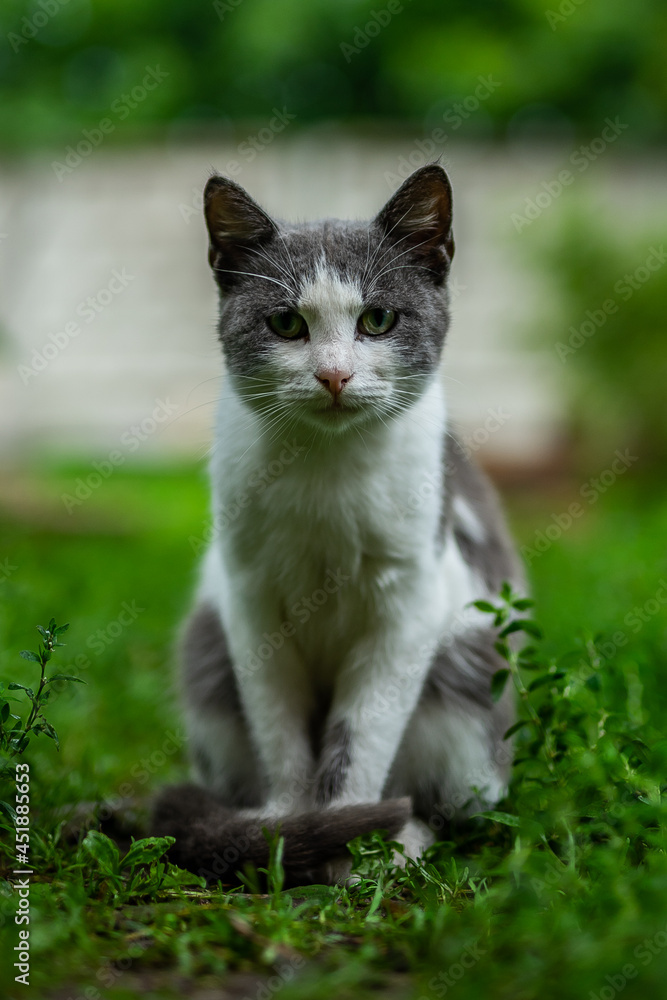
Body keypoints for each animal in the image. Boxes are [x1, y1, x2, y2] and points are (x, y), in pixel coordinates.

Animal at [154, 166, 524, 892]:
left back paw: (408, 835)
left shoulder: (408, 603)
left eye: (377, 319)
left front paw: (352, 844)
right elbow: (281, 732)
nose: (333, 374)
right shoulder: (249, 600)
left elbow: (360, 737)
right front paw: (286, 831)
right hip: (208, 652)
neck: (324, 475)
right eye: (285, 322)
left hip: (470, 684)